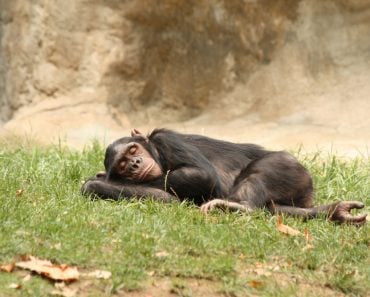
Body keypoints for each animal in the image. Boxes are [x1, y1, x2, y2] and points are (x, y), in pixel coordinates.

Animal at [81, 128, 368, 224]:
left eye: (133, 150)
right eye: (122, 163)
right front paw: (104, 181)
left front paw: (102, 180)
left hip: (287, 166)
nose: (134, 164)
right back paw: (335, 212)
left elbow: (201, 175)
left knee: (259, 174)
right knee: (277, 209)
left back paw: (239, 206)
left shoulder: (167, 139)